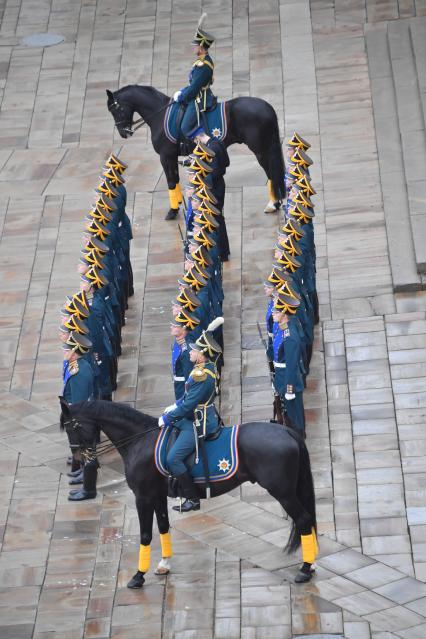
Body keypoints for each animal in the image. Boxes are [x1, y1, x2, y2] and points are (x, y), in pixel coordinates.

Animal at [60, 400, 320, 592]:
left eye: (71, 426)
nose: (80, 458)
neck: (140, 439)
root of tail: (287, 431)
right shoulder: (157, 495)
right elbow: (163, 527)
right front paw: (164, 564)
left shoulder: (143, 496)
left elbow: (145, 534)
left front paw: (138, 576)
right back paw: (311, 564)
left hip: (283, 492)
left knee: (304, 519)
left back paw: (305, 569)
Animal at [106, 87, 286, 220]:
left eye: (116, 108)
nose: (124, 132)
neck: (159, 114)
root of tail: (268, 107)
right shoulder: (172, 156)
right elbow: (175, 179)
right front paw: (179, 204)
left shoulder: (166, 156)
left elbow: (170, 181)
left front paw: (172, 211)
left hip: (260, 150)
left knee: (271, 173)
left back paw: (273, 204)